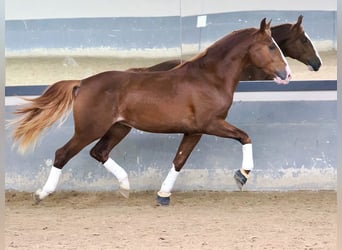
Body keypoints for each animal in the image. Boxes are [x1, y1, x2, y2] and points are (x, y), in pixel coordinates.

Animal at [9, 18, 290, 205]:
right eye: (271, 46)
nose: (287, 74)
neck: (209, 78)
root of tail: (82, 83)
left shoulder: (194, 131)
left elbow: (179, 160)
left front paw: (163, 195)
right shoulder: (210, 124)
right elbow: (245, 136)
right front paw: (242, 175)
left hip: (119, 127)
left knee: (99, 152)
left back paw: (125, 186)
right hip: (90, 128)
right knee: (62, 154)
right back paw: (42, 194)